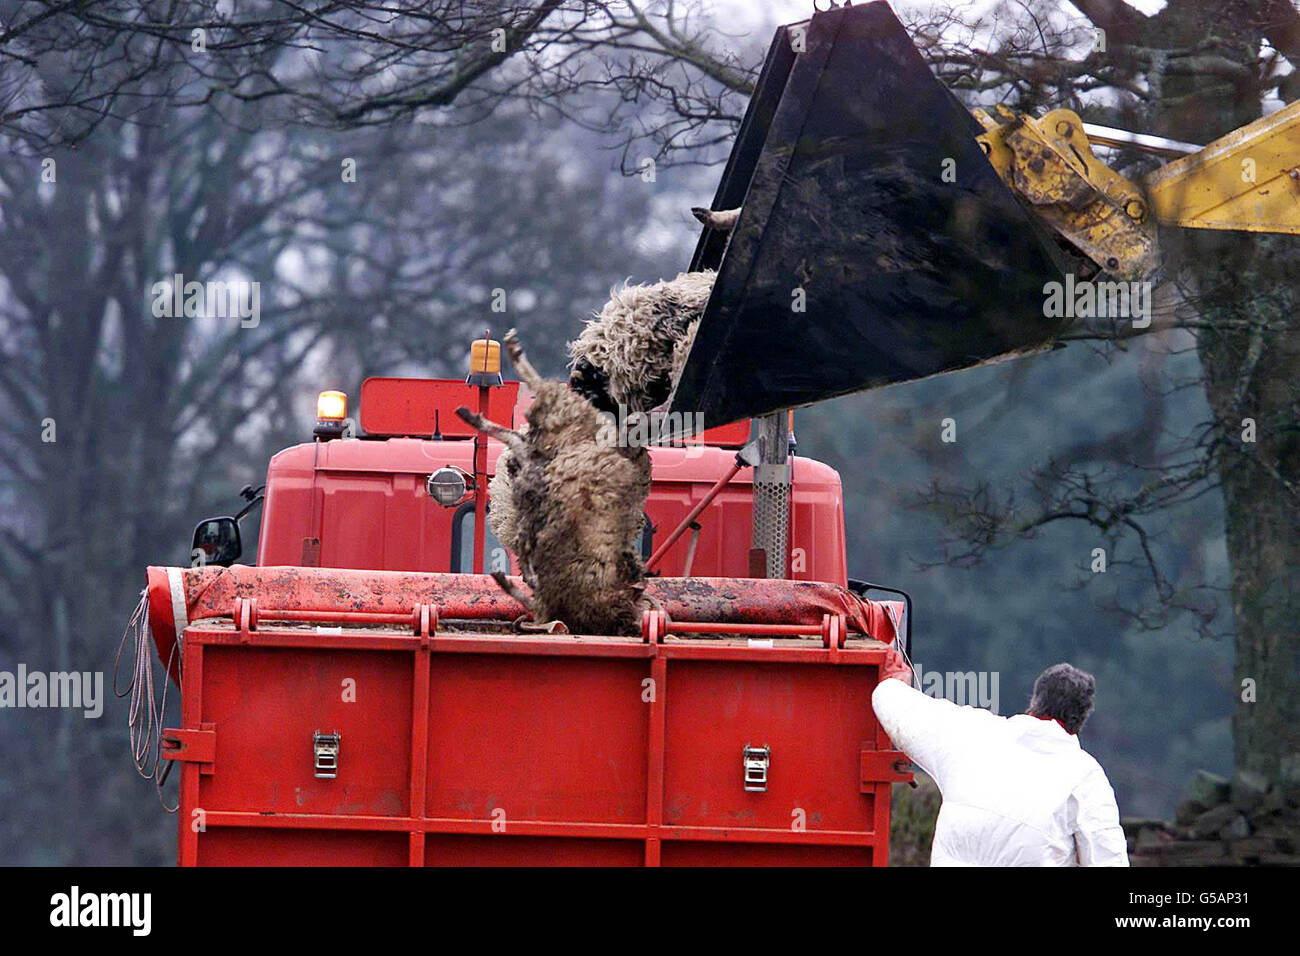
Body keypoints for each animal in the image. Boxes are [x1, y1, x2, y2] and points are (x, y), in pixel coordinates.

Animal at [457, 329, 652, 635]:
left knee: (518, 436)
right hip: (565, 416)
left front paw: (510, 577)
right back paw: (513, 352)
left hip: (551, 435)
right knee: (539, 393)